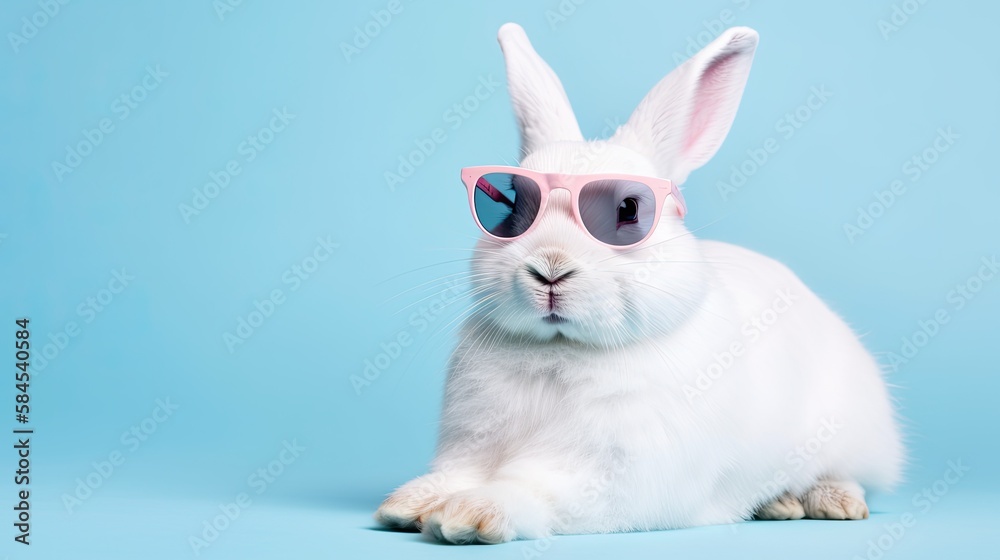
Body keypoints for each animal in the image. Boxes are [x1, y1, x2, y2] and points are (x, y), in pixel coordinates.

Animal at [376, 23, 908, 544]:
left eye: (629, 210)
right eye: (510, 207)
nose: (550, 267)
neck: (560, 349)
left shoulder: (613, 477)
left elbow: (535, 488)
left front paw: (468, 513)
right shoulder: (472, 445)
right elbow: (456, 474)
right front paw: (407, 505)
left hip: (850, 435)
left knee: (848, 475)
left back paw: (831, 502)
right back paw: (779, 505)